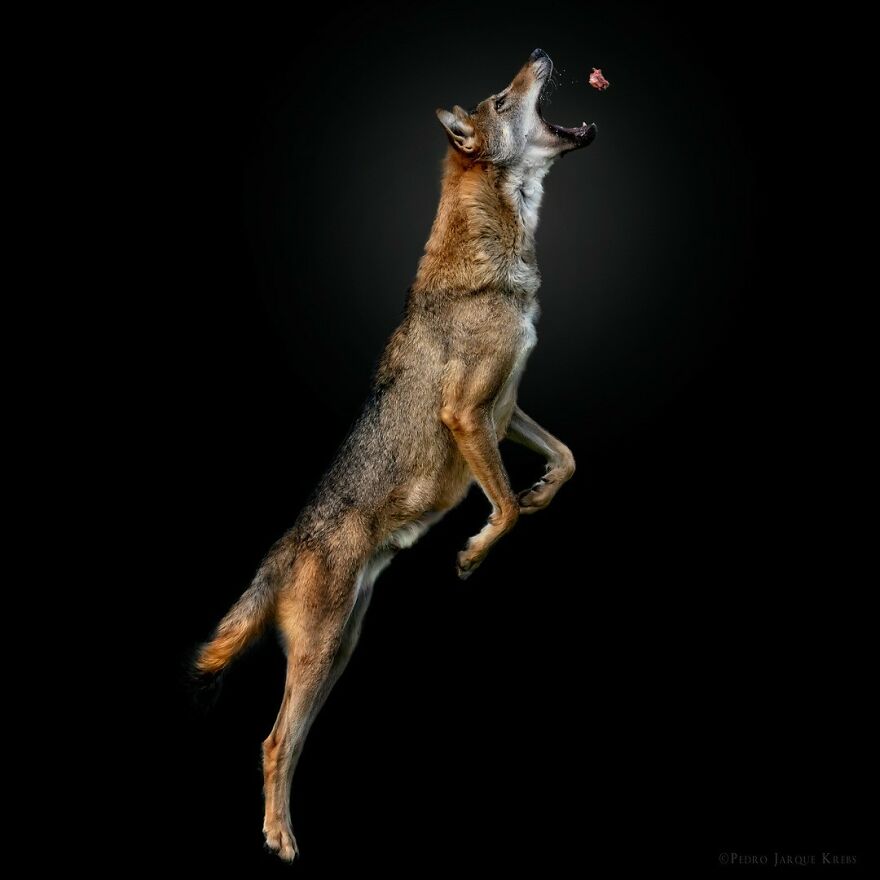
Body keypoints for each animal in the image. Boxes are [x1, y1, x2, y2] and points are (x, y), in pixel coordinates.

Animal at [195, 48, 597, 861]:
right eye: (503, 97)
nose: (540, 53)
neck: (498, 252)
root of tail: (285, 547)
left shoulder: (505, 411)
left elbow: (566, 459)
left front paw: (540, 492)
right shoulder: (468, 416)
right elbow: (503, 510)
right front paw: (473, 553)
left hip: (339, 654)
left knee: (283, 741)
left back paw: (282, 825)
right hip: (321, 655)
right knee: (273, 742)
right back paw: (280, 840)